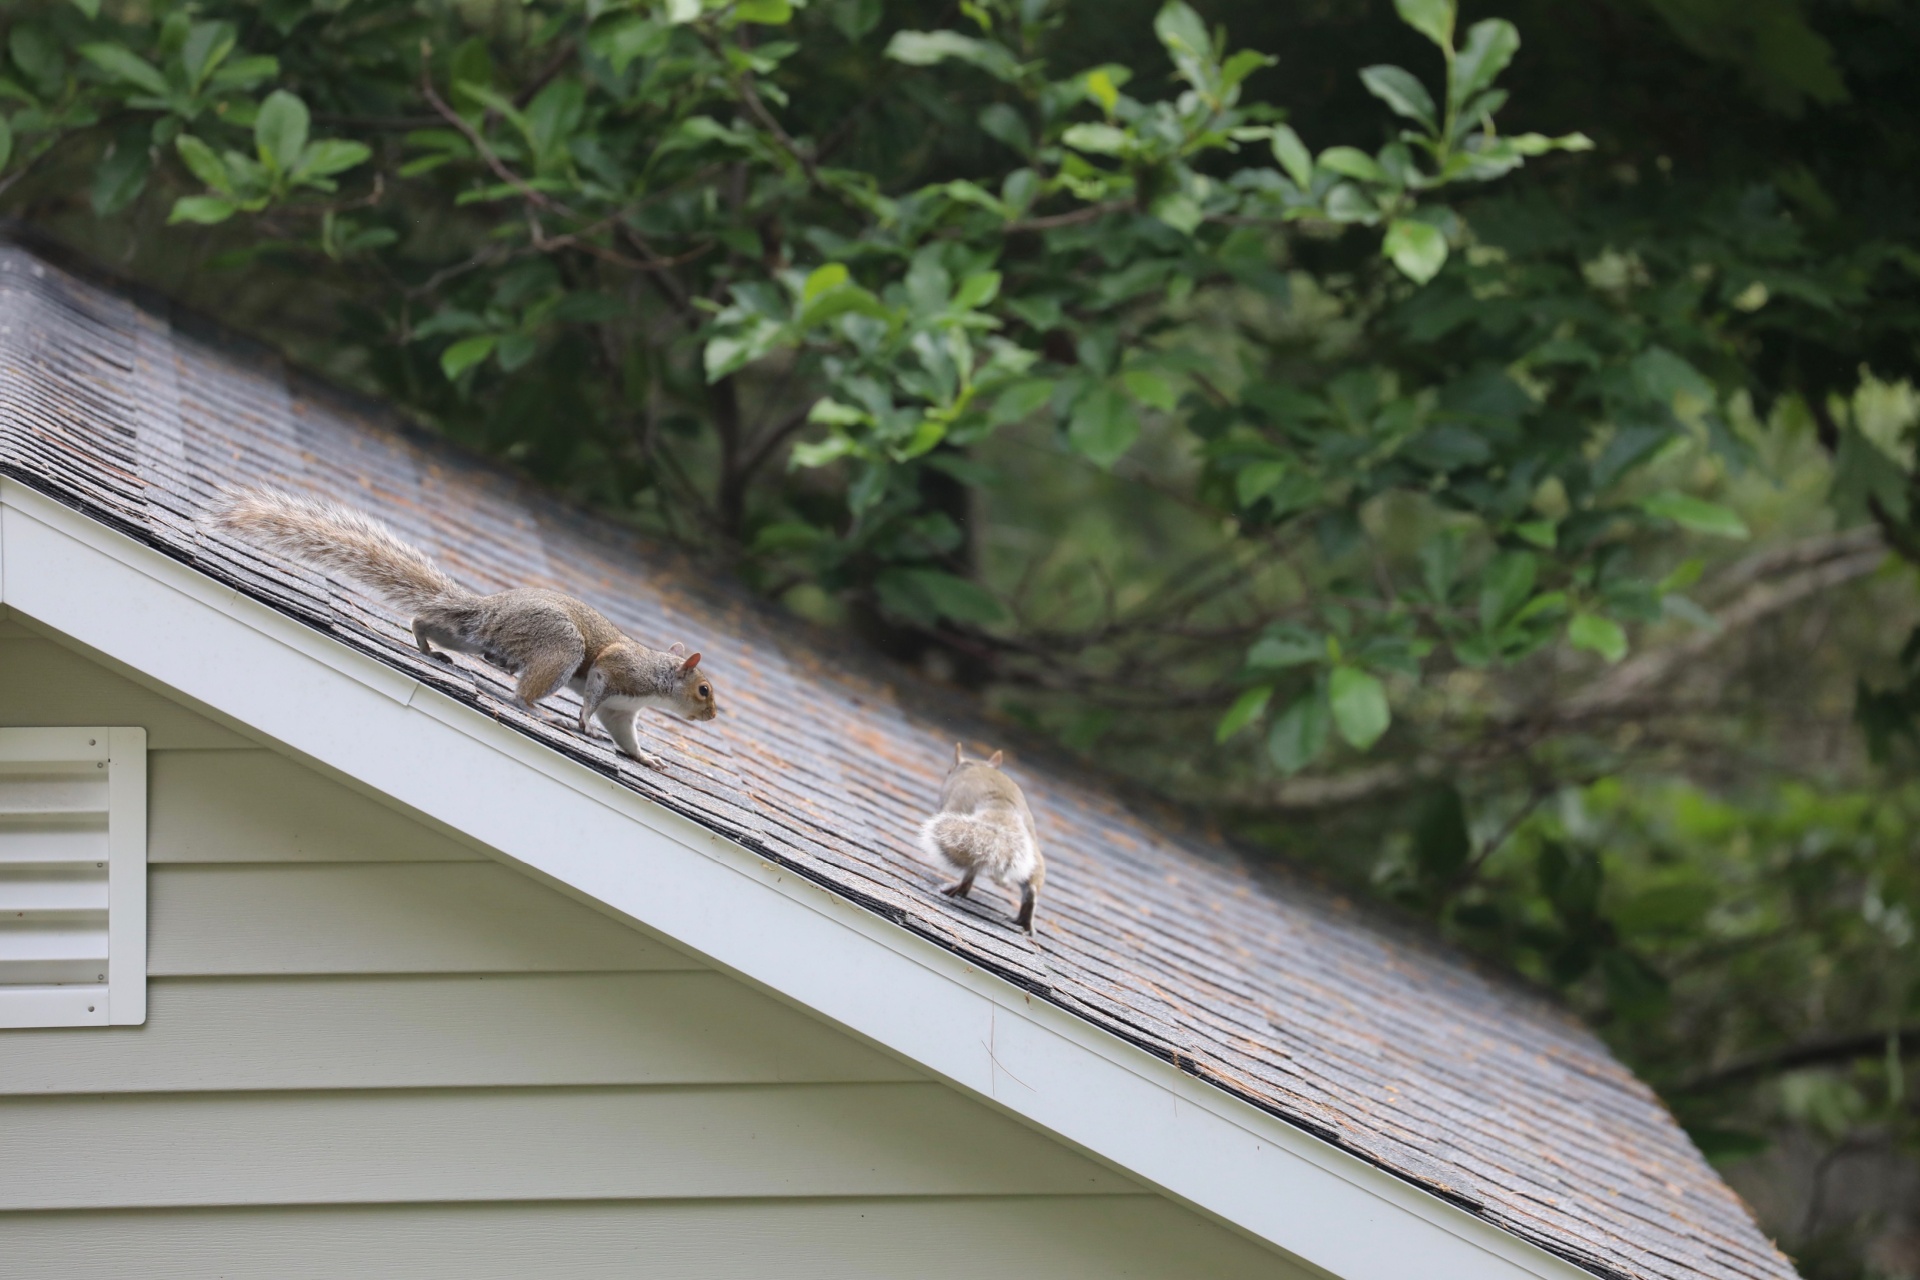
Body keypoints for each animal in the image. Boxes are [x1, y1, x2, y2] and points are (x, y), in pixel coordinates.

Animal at [209, 487, 716, 769]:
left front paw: (645, 758)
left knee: (430, 621)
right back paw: (534, 710)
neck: (657, 680)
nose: (712, 716)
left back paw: (426, 646)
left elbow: (625, 735)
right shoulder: (617, 670)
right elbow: (595, 693)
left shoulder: (623, 711)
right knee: (524, 690)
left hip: (473, 638)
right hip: (560, 646)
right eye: (705, 690)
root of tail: (490, 609)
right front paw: (583, 724)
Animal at [919, 743, 1046, 935]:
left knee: (971, 871)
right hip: (1033, 853)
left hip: (968, 841)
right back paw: (1025, 921)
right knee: (1031, 888)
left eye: (949, 771)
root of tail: (1003, 809)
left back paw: (956, 889)